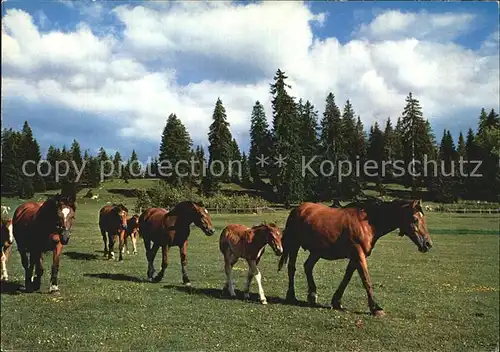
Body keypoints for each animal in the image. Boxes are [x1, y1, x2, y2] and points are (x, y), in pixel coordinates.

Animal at [278, 198, 434, 316]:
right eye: (415, 219)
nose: (428, 244)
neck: (367, 223)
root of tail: (298, 209)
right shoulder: (358, 255)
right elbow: (366, 280)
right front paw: (375, 308)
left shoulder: (356, 257)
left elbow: (347, 278)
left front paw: (337, 302)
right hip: (295, 245)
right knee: (292, 268)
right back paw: (291, 296)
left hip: (316, 251)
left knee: (308, 267)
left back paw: (312, 295)